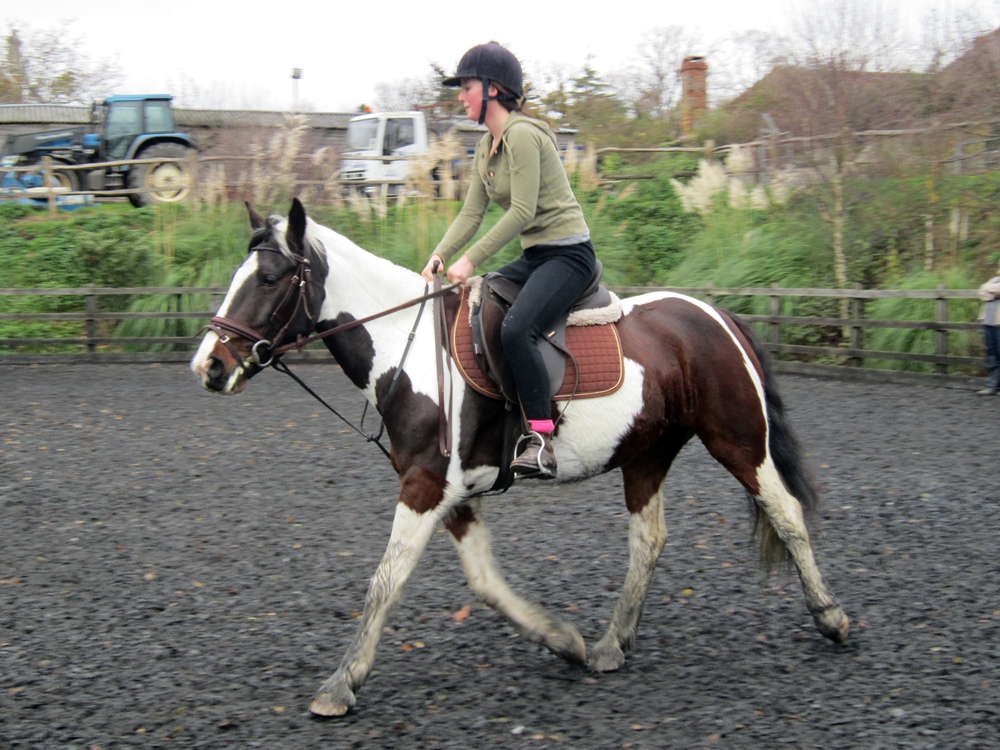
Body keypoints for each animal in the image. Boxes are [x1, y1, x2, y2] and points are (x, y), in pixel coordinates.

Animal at [191, 198, 849, 717]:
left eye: (270, 279)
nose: (209, 366)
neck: (409, 348)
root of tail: (716, 314)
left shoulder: (425, 486)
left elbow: (385, 581)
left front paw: (339, 685)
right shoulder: (450, 492)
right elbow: (484, 582)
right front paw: (563, 641)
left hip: (738, 439)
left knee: (786, 513)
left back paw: (831, 618)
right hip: (645, 454)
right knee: (649, 540)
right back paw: (610, 646)